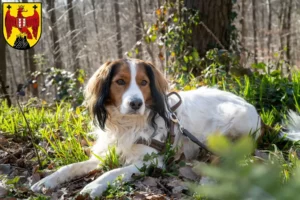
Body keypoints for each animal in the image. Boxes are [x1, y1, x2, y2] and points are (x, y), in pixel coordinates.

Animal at [31, 58, 300, 198]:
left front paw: (93, 186)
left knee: (221, 159)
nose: (136, 103)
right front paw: (47, 181)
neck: (128, 124)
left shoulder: (151, 161)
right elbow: (70, 167)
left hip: (224, 126)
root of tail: (260, 116)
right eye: (120, 81)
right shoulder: (106, 153)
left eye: (143, 82)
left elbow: (113, 172)